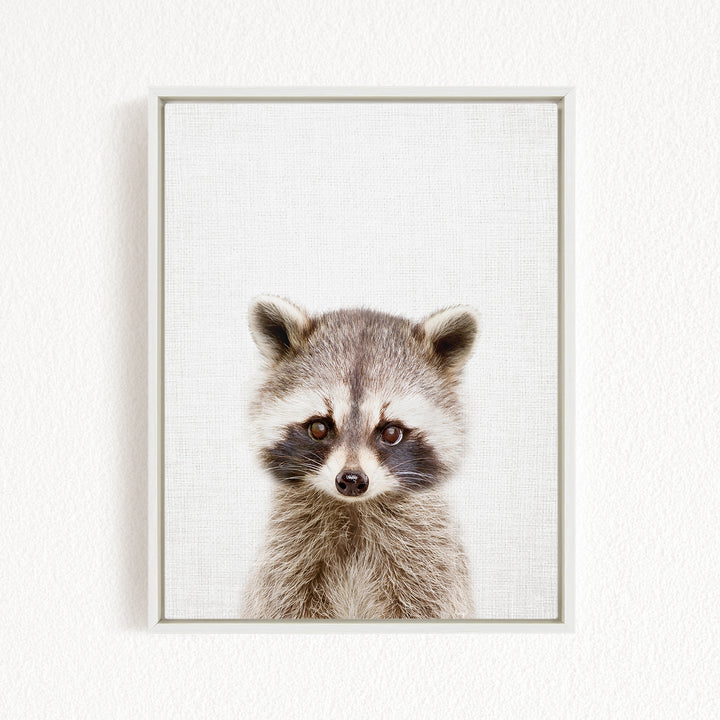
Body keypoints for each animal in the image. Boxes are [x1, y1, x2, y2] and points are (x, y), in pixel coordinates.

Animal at [243, 295, 479, 620]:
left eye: (391, 432)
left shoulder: (430, 564)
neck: (354, 510)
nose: (352, 480)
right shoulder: (285, 561)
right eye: (319, 428)